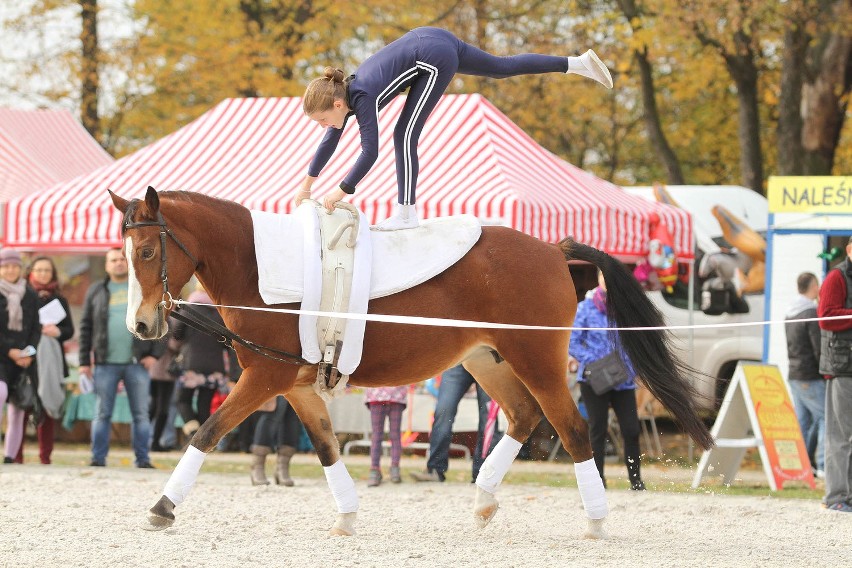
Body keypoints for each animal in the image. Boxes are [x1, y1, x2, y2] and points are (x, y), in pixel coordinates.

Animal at [113, 189, 712, 540]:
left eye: (147, 253)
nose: (140, 327)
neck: (256, 265)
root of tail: (551, 250)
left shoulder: (264, 377)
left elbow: (208, 431)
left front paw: (163, 506)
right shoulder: (295, 383)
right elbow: (326, 445)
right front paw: (348, 514)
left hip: (536, 359)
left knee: (573, 427)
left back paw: (595, 521)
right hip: (487, 359)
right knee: (523, 416)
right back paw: (483, 501)